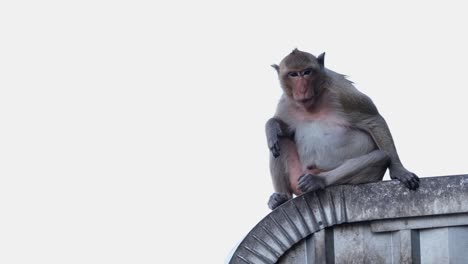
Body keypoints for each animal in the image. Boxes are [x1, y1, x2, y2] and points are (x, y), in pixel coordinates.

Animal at [266, 49, 418, 210]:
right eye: (293, 74)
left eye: (307, 72)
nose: (302, 89)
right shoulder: (285, 103)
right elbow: (285, 131)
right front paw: (271, 126)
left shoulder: (342, 92)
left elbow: (373, 120)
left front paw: (399, 170)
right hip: (297, 178)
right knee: (279, 142)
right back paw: (282, 197)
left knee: (381, 156)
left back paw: (317, 180)